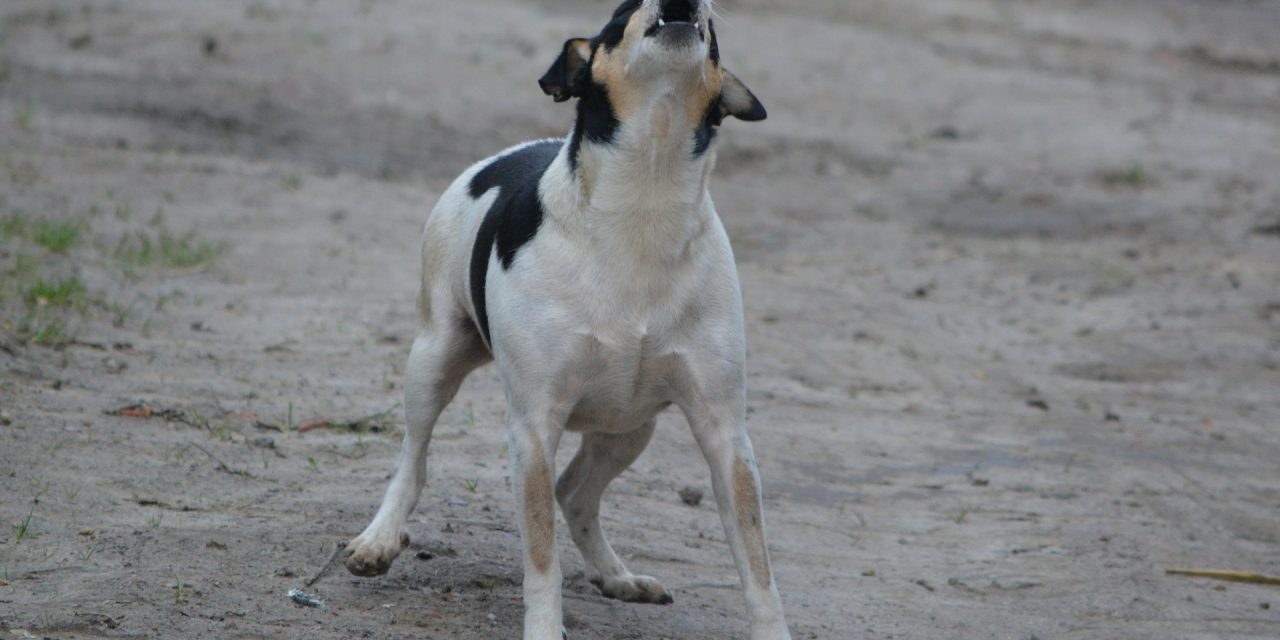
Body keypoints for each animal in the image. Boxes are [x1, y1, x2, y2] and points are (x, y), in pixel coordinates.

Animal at [340, 2, 783, 637]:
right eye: (621, 14)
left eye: (715, 33)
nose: (683, 5)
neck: (645, 196)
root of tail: (507, 153)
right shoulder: (533, 426)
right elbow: (540, 554)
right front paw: (546, 627)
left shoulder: (724, 432)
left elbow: (756, 564)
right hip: (432, 360)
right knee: (414, 459)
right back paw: (378, 539)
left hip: (629, 427)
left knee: (574, 493)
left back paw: (617, 575)